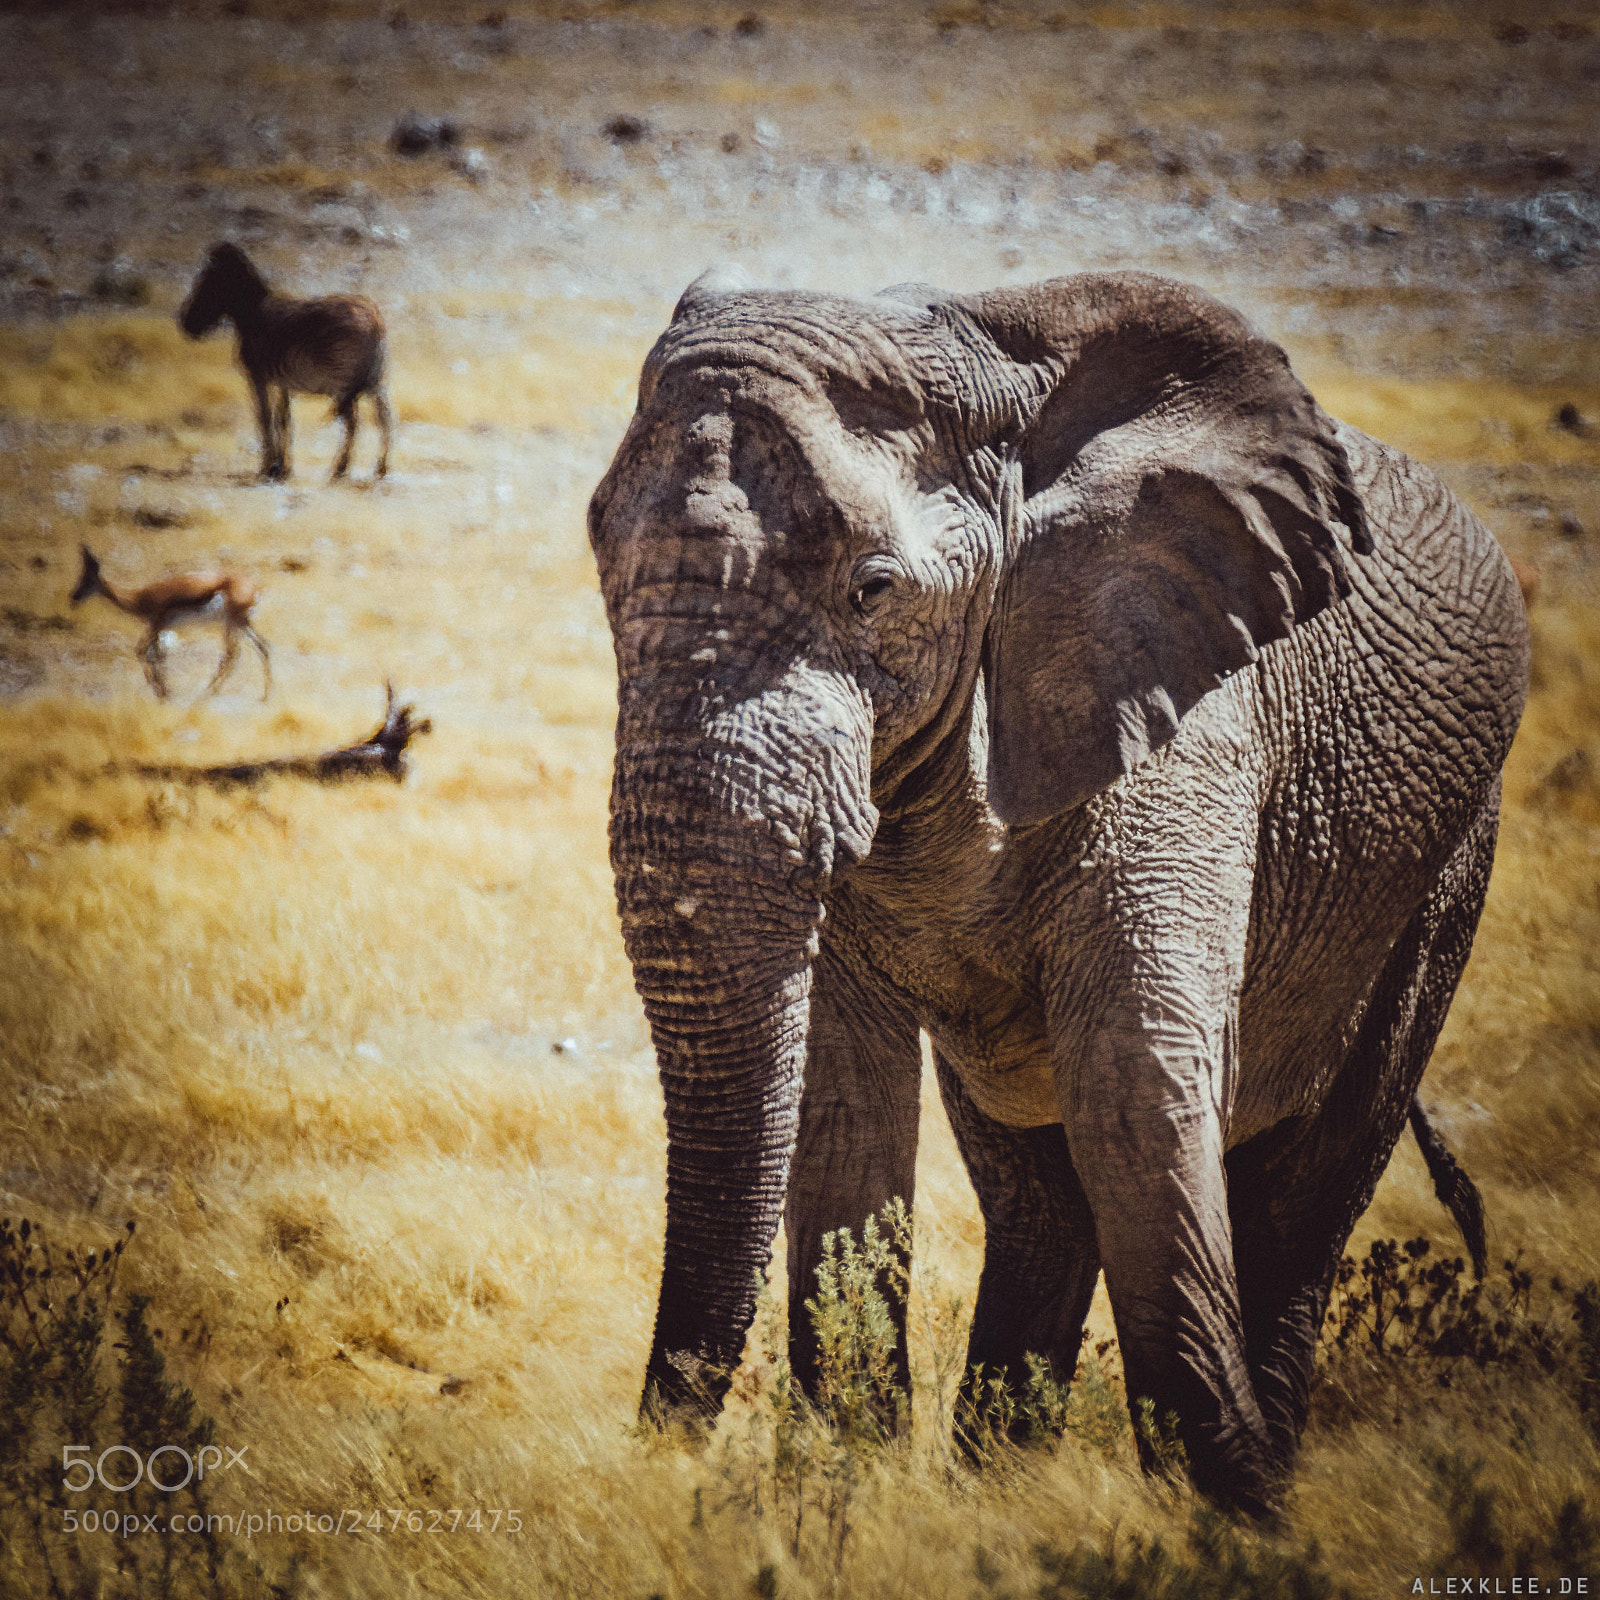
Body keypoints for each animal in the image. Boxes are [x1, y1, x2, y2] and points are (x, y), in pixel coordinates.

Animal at [587, 267, 1529, 1515]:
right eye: (599, 562)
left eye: (872, 589)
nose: (656, 1449)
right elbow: (843, 1094)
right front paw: (849, 1491)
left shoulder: (1180, 705)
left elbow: (1137, 1076)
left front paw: (1232, 1520)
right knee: (1037, 1186)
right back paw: (1000, 1478)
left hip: (1449, 856)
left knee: (1309, 1183)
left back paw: (1252, 1477)